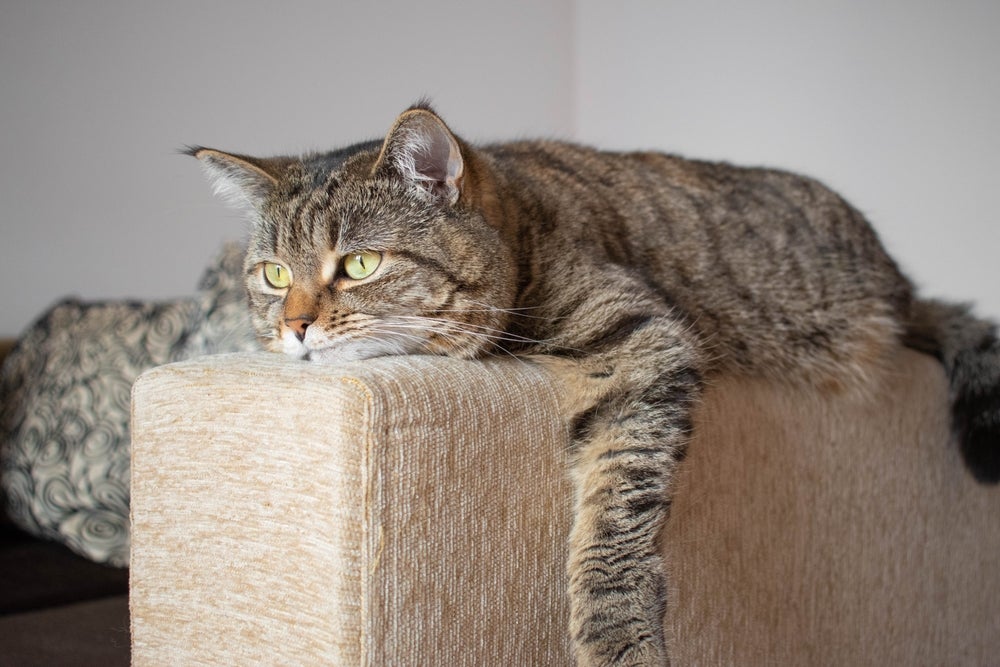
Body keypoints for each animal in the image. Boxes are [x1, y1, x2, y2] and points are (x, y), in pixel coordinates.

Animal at [189, 102, 1000, 664]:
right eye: (274, 274)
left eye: (359, 263)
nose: (294, 326)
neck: (523, 228)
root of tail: (900, 285)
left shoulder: (642, 344)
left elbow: (615, 522)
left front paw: (617, 633)